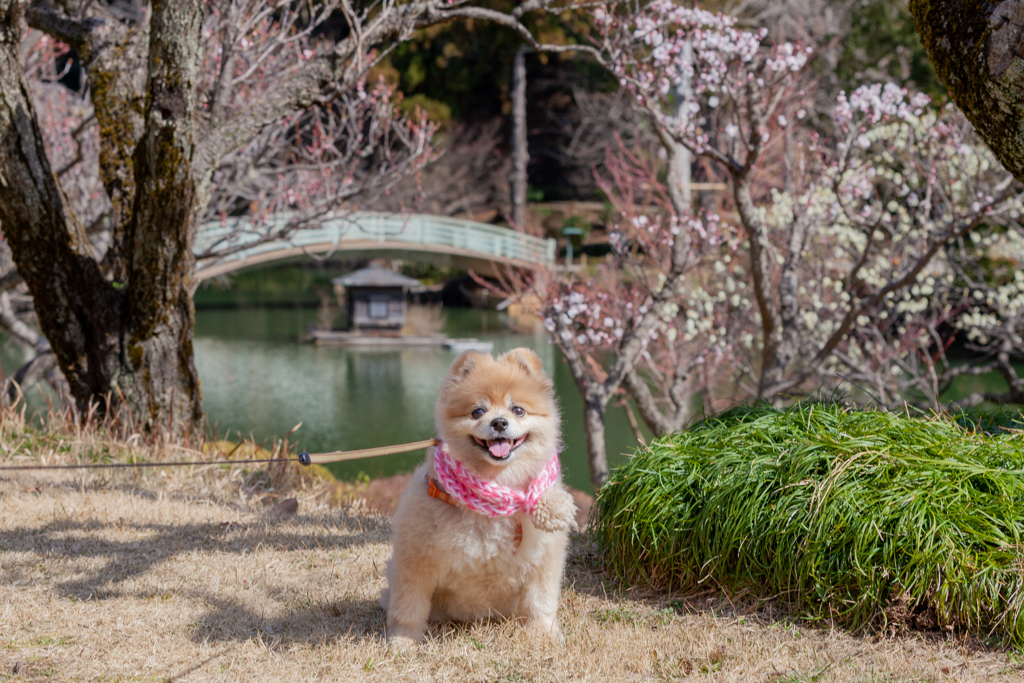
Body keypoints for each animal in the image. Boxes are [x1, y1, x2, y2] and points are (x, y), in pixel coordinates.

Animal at [382, 348, 577, 651]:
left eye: (517, 409)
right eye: (478, 411)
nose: (499, 422)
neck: (496, 486)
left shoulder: (545, 556)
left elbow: (540, 601)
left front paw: (542, 634)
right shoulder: (415, 558)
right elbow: (408, 606)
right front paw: (404, 641)